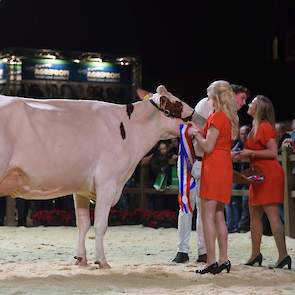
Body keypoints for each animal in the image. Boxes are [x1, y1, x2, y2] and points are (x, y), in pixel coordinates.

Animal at [0, 85, 197, 268]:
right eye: (178, 103)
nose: (196, 120)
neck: (129, 129)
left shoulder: (81, 188)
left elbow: (83, 223)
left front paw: (81, 259)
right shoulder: (107, 183)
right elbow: (100, 225)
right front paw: (102, 261)